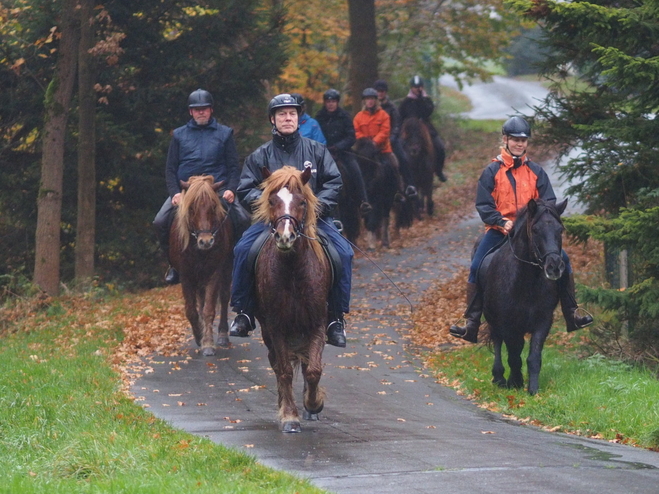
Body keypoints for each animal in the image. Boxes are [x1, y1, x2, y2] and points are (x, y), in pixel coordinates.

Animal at [170, 176, 235, 356]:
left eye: (213, 206)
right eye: (192, 208)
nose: (206, 241)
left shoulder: (214, 272)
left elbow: (209, 309)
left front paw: (207, 344)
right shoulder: (186, 275)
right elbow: (191, 310)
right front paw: (199, 335)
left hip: (226, 268)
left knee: (224, 297)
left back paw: (222, 335)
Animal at [254, 166, 332, 432]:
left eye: (302, 202)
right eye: (271, 200)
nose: (285, 237)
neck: (293, 270)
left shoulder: (317, 323)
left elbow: (314, 369)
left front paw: (314, 403)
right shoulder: (275, 326)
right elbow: (285, 370)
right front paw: (289, 416)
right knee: (277, 365)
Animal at [476, 197, 568, 394]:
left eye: (560, 229)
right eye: (535, 229)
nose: (554, 267)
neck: (526, 283)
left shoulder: (543, 321)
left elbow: (533, 357)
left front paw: (533, 389)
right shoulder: (508, 324)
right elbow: (514, 354)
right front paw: (515, 381)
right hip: (493, 320)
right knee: (497, 342)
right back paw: (499, 377)